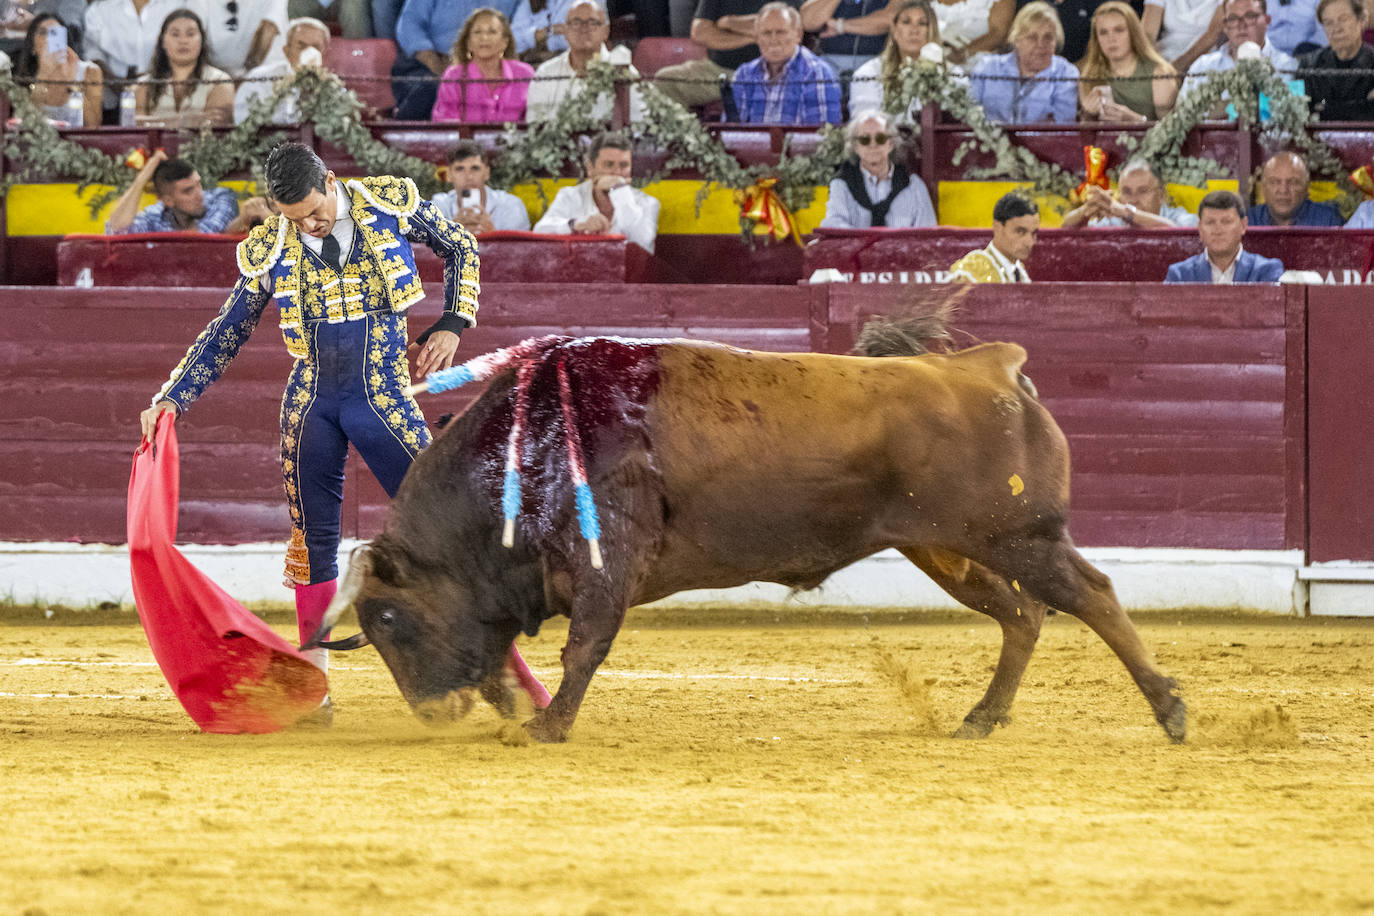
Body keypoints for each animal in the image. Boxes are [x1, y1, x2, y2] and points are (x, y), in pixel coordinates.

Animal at [306, 322, 1187, 747]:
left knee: (1090, 595)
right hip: (945, 549)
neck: (533, 446)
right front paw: (525, 714)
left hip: (1017, 535)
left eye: (389, 619)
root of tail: (986, 366)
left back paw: (1170, 708)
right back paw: (980, 718)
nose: (432, 713)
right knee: (1023, 613)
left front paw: (546, 727)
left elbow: (584, 646)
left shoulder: (607, 564)